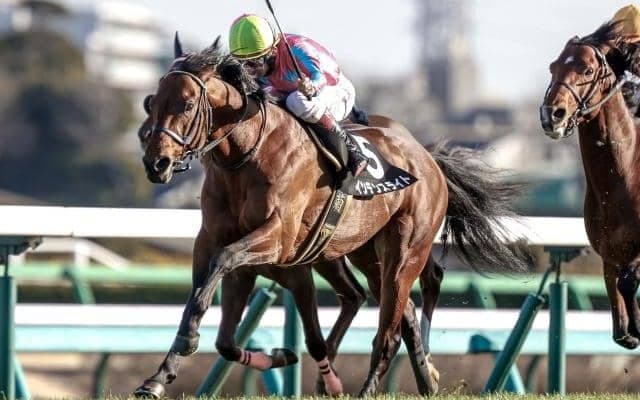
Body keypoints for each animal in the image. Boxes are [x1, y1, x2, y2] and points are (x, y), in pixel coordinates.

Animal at [137, 36, 530, 396]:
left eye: (188, 104)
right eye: (150, 101)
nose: (156, 163)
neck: (247, 155)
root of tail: (427, 158)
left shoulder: (277, 240)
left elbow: (223, 267)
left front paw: (189, 343)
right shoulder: (229, 253)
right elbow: (216, 323)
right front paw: (160, 376)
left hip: (404, 254)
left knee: (388, 332)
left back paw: (369, 388)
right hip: (366, 254)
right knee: (396, 313)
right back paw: (426, 378)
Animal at [540, 21, 640, 349]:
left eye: (587, 70)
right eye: (553, 67)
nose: (552, 114)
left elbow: (629, 279)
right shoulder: (609, 253)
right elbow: (620, 323)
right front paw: (631, 330)